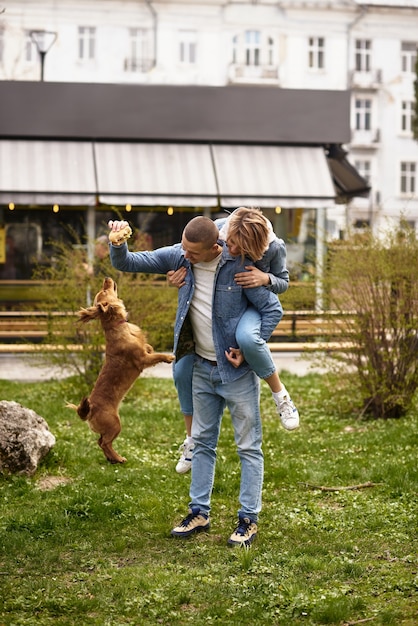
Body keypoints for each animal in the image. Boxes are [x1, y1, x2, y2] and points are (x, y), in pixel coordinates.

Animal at [68, 276, 175, 460]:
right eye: (104, 290)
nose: (106, 278)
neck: (119, 326)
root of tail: (90, 411)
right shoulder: (142, 359)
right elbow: (156, 356)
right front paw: (168, 357)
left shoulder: (143, 350)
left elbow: (149, 347)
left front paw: (151, 347)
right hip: (115, 424)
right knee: (105, 443)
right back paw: (118, 459)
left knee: (100, 442)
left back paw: (112, 459)